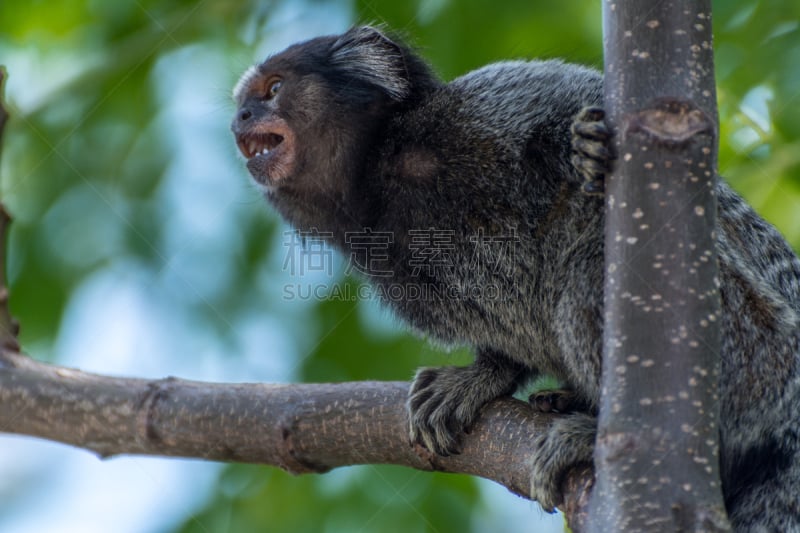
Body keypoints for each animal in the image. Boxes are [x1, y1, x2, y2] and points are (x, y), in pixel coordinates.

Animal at [231, 26, 800, 532]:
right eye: (244, 103)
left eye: (274, 89)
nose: (241, 118)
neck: (383, 176)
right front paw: (484, 375)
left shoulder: (480, 109)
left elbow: (598, 103)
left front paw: (586, 146)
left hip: (754, 350)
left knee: (592, 268)